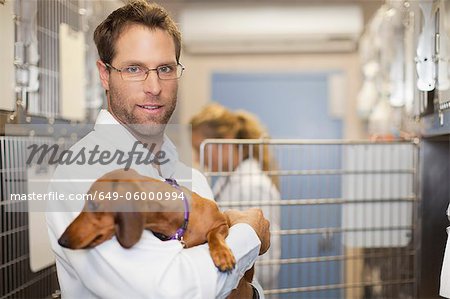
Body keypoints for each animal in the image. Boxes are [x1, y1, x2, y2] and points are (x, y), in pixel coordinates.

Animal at [58, 169, 266, 274]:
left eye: (93, 204)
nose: (61, 241)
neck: (183, 219)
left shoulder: (222, 223)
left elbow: (214, 235)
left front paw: (222, 254)